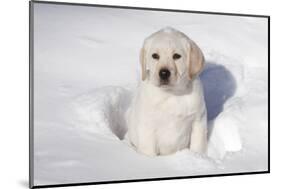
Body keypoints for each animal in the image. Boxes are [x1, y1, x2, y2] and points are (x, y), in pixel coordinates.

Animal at [124, 27, 206, 156]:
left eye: (177, 56)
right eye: (155, 56)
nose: (163, 73)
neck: (171, 94)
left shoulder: (198, 121)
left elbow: (198, 146)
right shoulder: (147, 126)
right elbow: (149, 151)